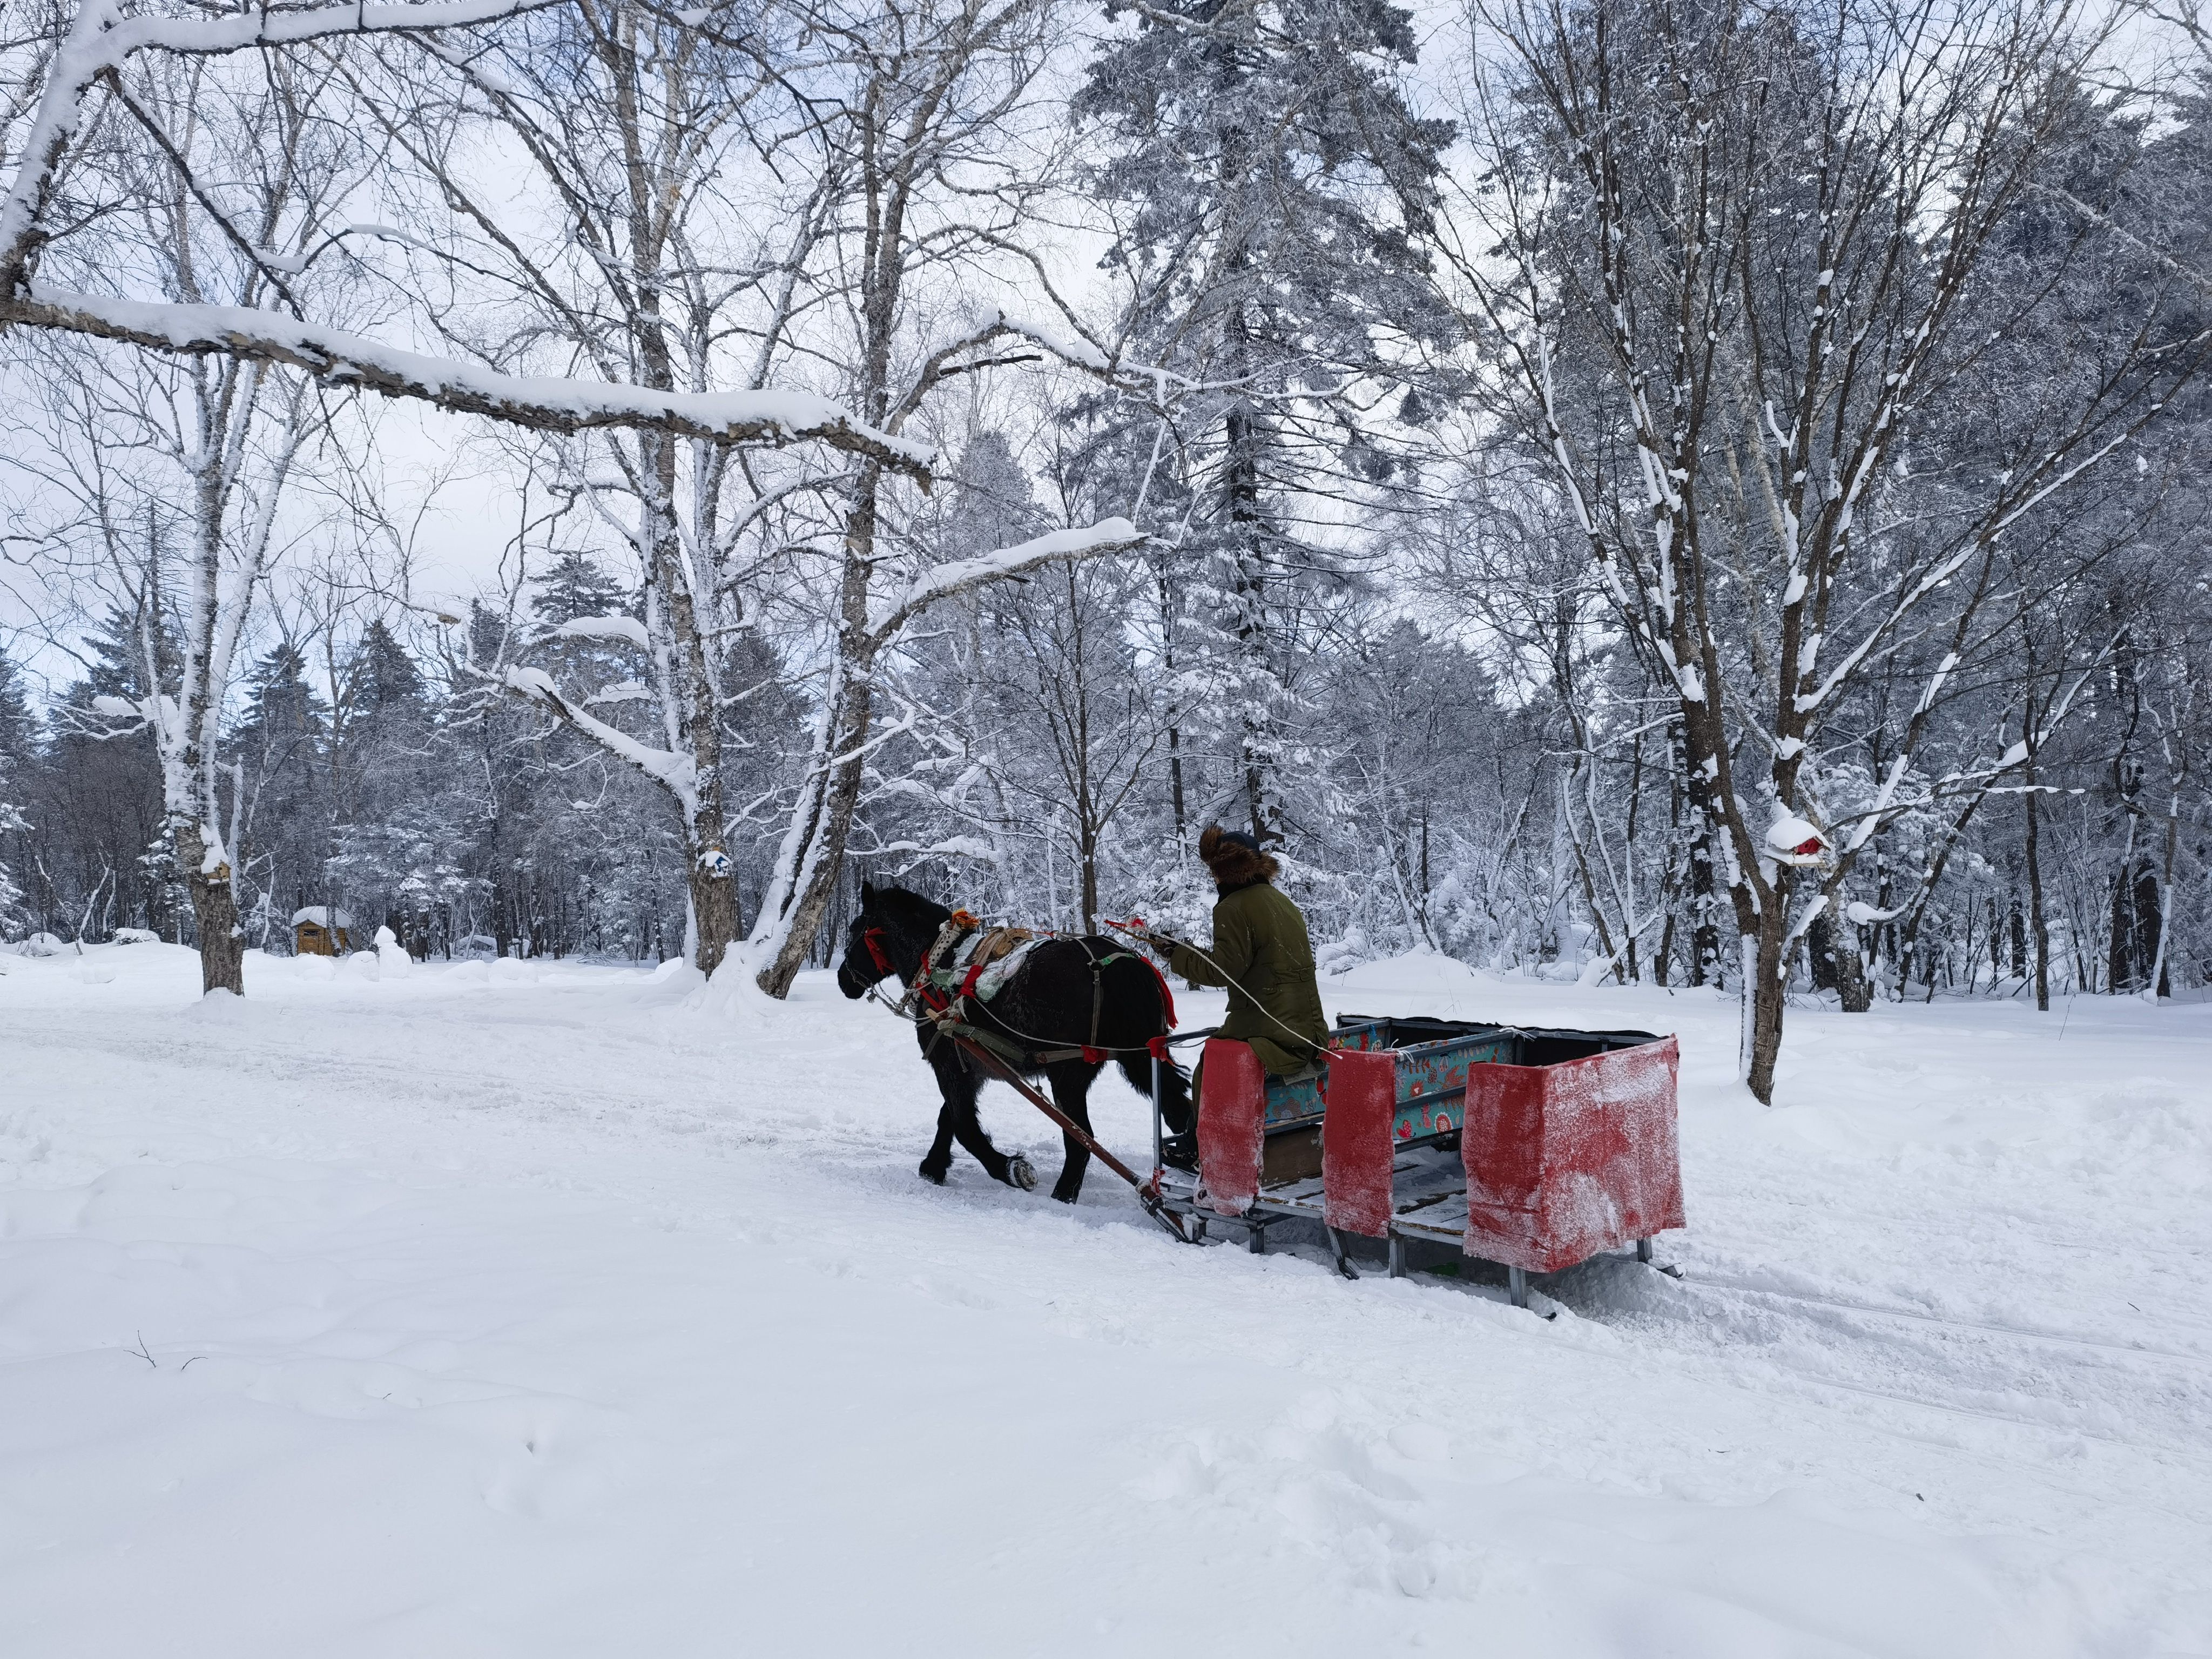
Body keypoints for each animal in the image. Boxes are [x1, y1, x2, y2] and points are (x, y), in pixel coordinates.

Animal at [836, 885, 1194, 1212]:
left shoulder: (949, 1063)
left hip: (1068, 1074)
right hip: (1138, 1058)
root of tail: (1123, 965)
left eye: (855, 929)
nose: (842, 979)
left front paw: (1009, 1169)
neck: (941, 964)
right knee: (1178, 1109)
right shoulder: (970, 1066)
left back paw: (1063, 1199)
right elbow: (948, 1117)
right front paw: (933, 1167)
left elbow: (964, 1126)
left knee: (1081, 1140)